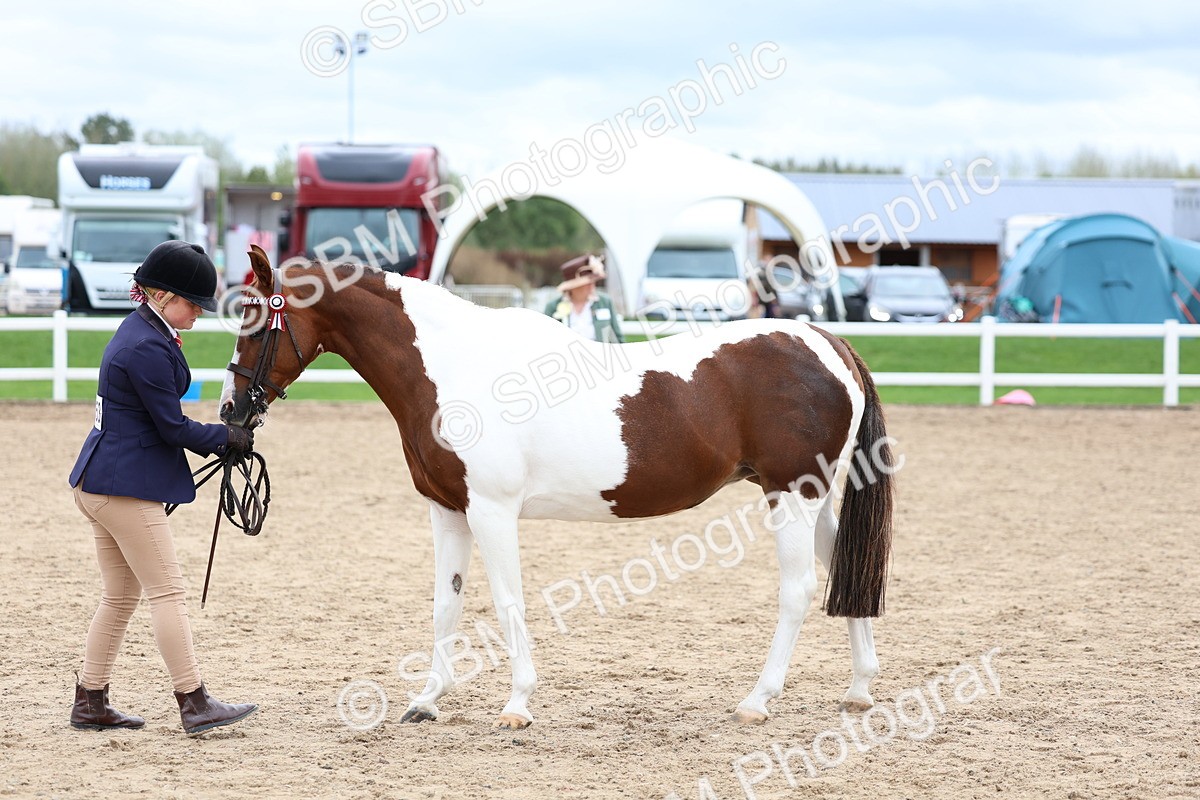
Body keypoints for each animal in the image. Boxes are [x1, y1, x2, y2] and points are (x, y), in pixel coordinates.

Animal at [221, 245, 894, 730]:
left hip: (791, 495)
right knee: (846, 570)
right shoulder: (448, 510)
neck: (455, 365)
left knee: (798, 591)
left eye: (253, 319)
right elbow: (447, 604)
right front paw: (427, 700)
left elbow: (507, 602)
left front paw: (517, 705)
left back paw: (758, 699)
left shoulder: (492, 512)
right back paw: (859, 689)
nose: (231, 411)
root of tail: (829, 342)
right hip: (815, 498)